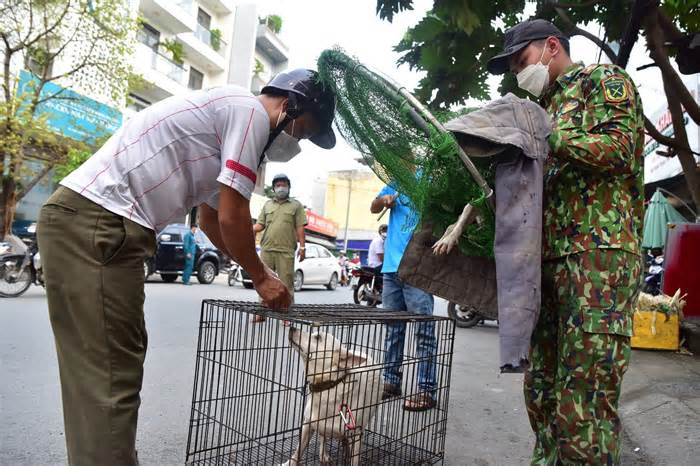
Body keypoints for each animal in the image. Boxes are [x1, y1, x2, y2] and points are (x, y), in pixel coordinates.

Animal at [282, 326, 382, 464]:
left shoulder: (356, 434)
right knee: (323, 436)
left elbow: (355, 459)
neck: (328, 386)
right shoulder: (307, 424)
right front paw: (288, 463)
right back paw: (324, 454)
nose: (292, 327)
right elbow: (297, 452)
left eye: (317, 337)